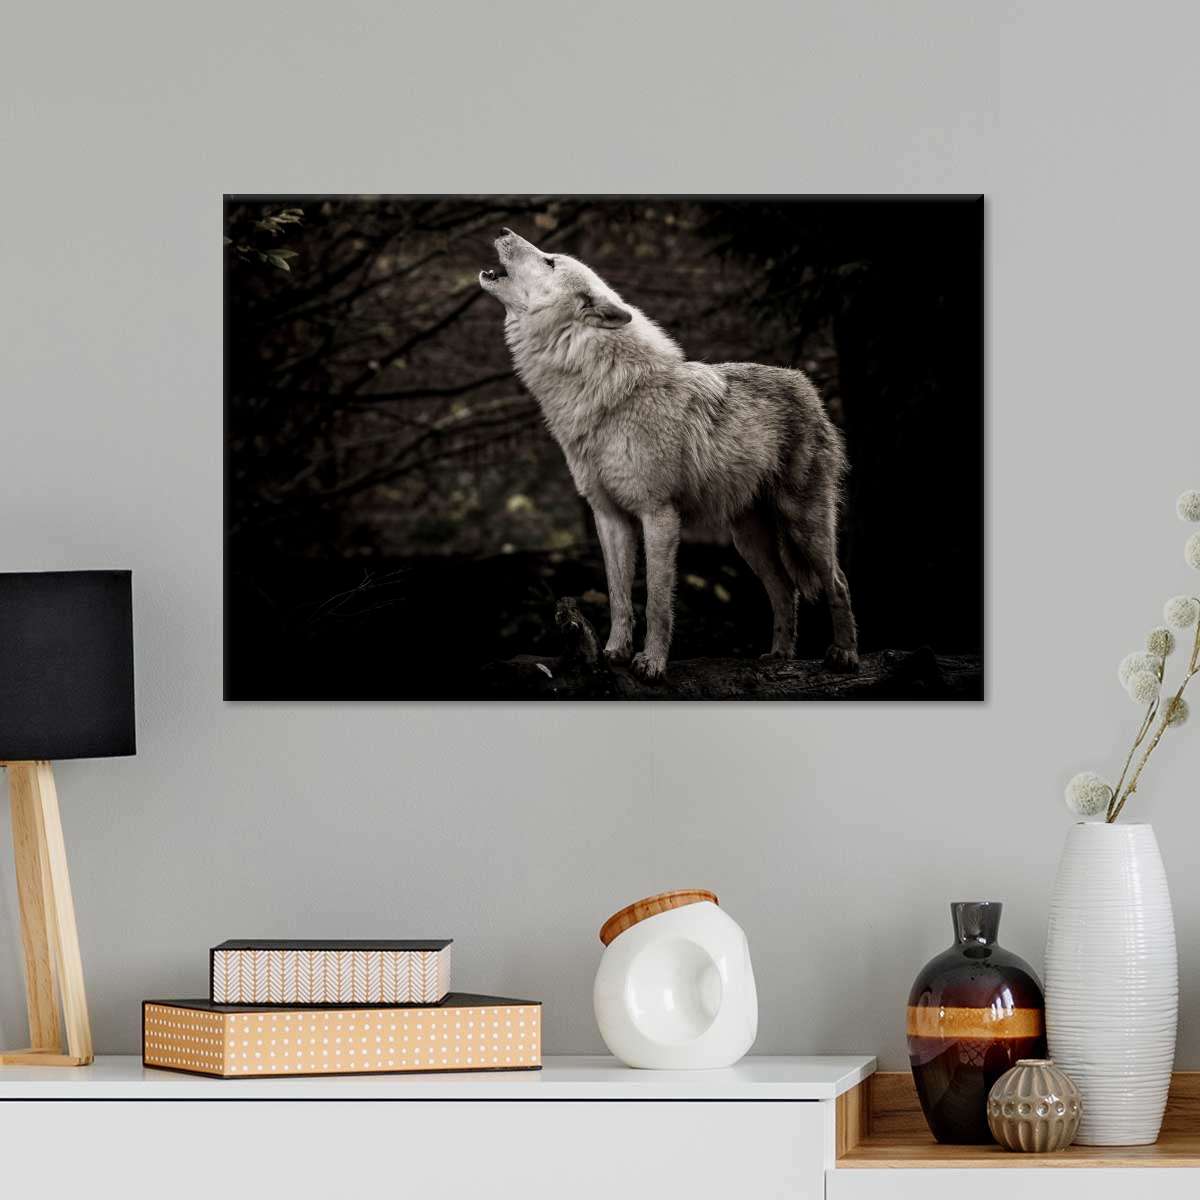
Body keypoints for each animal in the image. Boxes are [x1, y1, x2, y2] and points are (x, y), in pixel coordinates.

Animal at [480, 228, 858, 682]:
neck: (605, 393)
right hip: (747, 539)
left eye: (550, 260)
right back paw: (779, 656)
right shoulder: (608, 517)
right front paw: (613, 653)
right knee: (785, 589)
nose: (504, 231)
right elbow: (619, 596)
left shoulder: (658, 514)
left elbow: (658, 602)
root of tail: (805, 384)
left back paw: (844, 655)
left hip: (804, 524)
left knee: (838, 582)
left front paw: (652, 663)